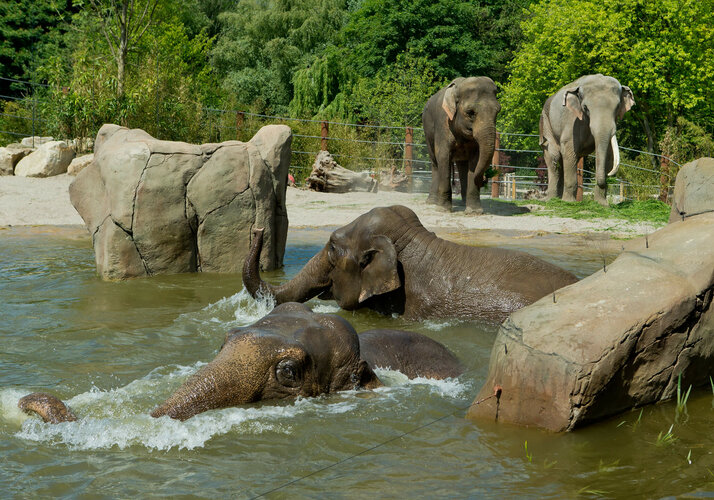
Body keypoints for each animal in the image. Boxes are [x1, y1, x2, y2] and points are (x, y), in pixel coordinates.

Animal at [420, 76, 498, 213]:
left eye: (498, 111)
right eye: (470, 112)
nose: (484, 179)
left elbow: (475, 160)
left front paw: (474, 212)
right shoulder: (443, 124)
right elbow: (443, 157)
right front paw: (443, 209)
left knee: (462, 166)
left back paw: (463, 203)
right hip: (427, 129)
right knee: (435, 162)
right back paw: (432, 202)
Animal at [536, 73, 632, 206]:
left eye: (617, 107)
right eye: (585, 108)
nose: (608, 175)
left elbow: (608, 155)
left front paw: (602, 204)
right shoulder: (572, 122)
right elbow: (569, 151)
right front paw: (569, 203)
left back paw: (558, 199)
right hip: (545, 122)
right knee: (554, 157)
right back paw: (551, 200)